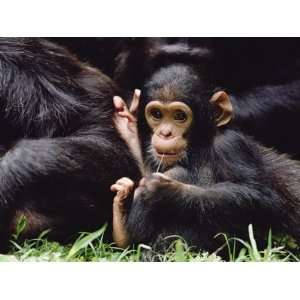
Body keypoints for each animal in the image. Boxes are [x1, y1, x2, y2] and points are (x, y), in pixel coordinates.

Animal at [110, 63, 300, 253]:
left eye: (180, 116)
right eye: (157, 114)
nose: (165, 133)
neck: (198, 148)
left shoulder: (231, 145)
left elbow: (261, 198)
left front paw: (164, 192)